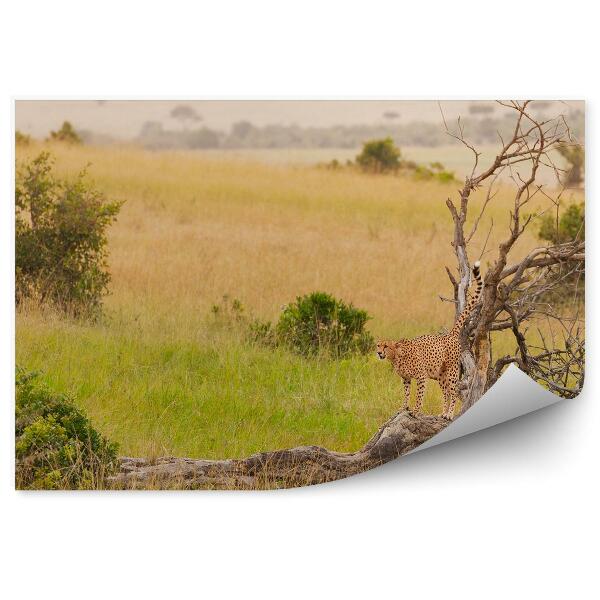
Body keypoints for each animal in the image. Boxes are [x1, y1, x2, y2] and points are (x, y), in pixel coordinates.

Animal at [378, 262, 486, 422]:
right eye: (378, 345)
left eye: (386, 346)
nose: (379, 353)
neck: (396, 356)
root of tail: (450, 334)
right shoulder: (406, 379)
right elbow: (406, 394)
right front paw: (403, 408)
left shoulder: (421, 376)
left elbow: (419, 395)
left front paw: (415, 412)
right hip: (440, 375)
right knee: (446, 392)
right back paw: (443, 413)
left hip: (452, 371)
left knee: (453, 392)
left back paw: (449, 414)